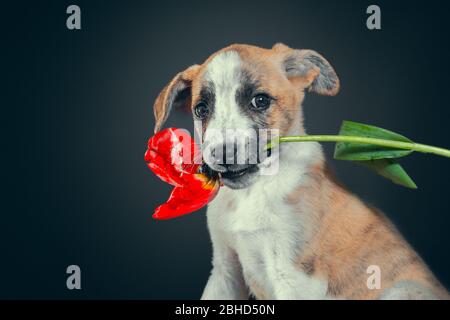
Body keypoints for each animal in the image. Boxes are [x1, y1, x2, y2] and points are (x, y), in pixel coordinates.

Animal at [153, 43, 448, 298]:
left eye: (260, 100)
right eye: (201, 109)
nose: (222, 153)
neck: (252, 193)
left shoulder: (295, 278)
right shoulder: (226, 270)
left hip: (402, 290)